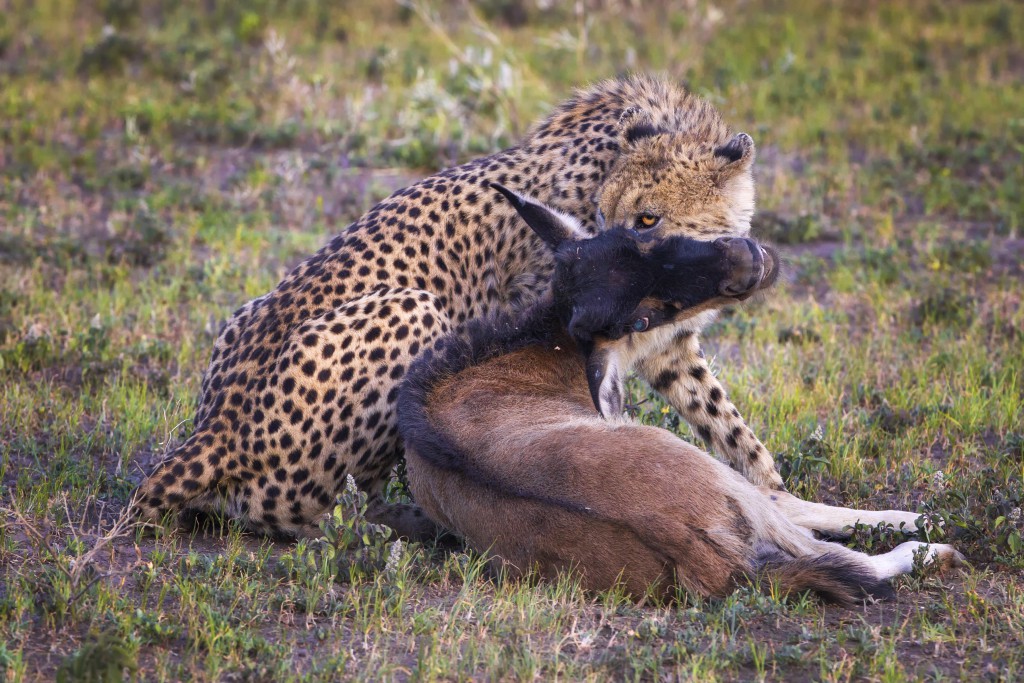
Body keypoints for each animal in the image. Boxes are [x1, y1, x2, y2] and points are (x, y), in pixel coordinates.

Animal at [138, 74, 782, 540]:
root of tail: (215, 427)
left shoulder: (668, 345)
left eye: (647, 220)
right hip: (415, 311)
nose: (591, 248)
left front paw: (773, 495)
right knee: (344, 507)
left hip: (246, 315)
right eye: (604, 214)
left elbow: (730, 427)